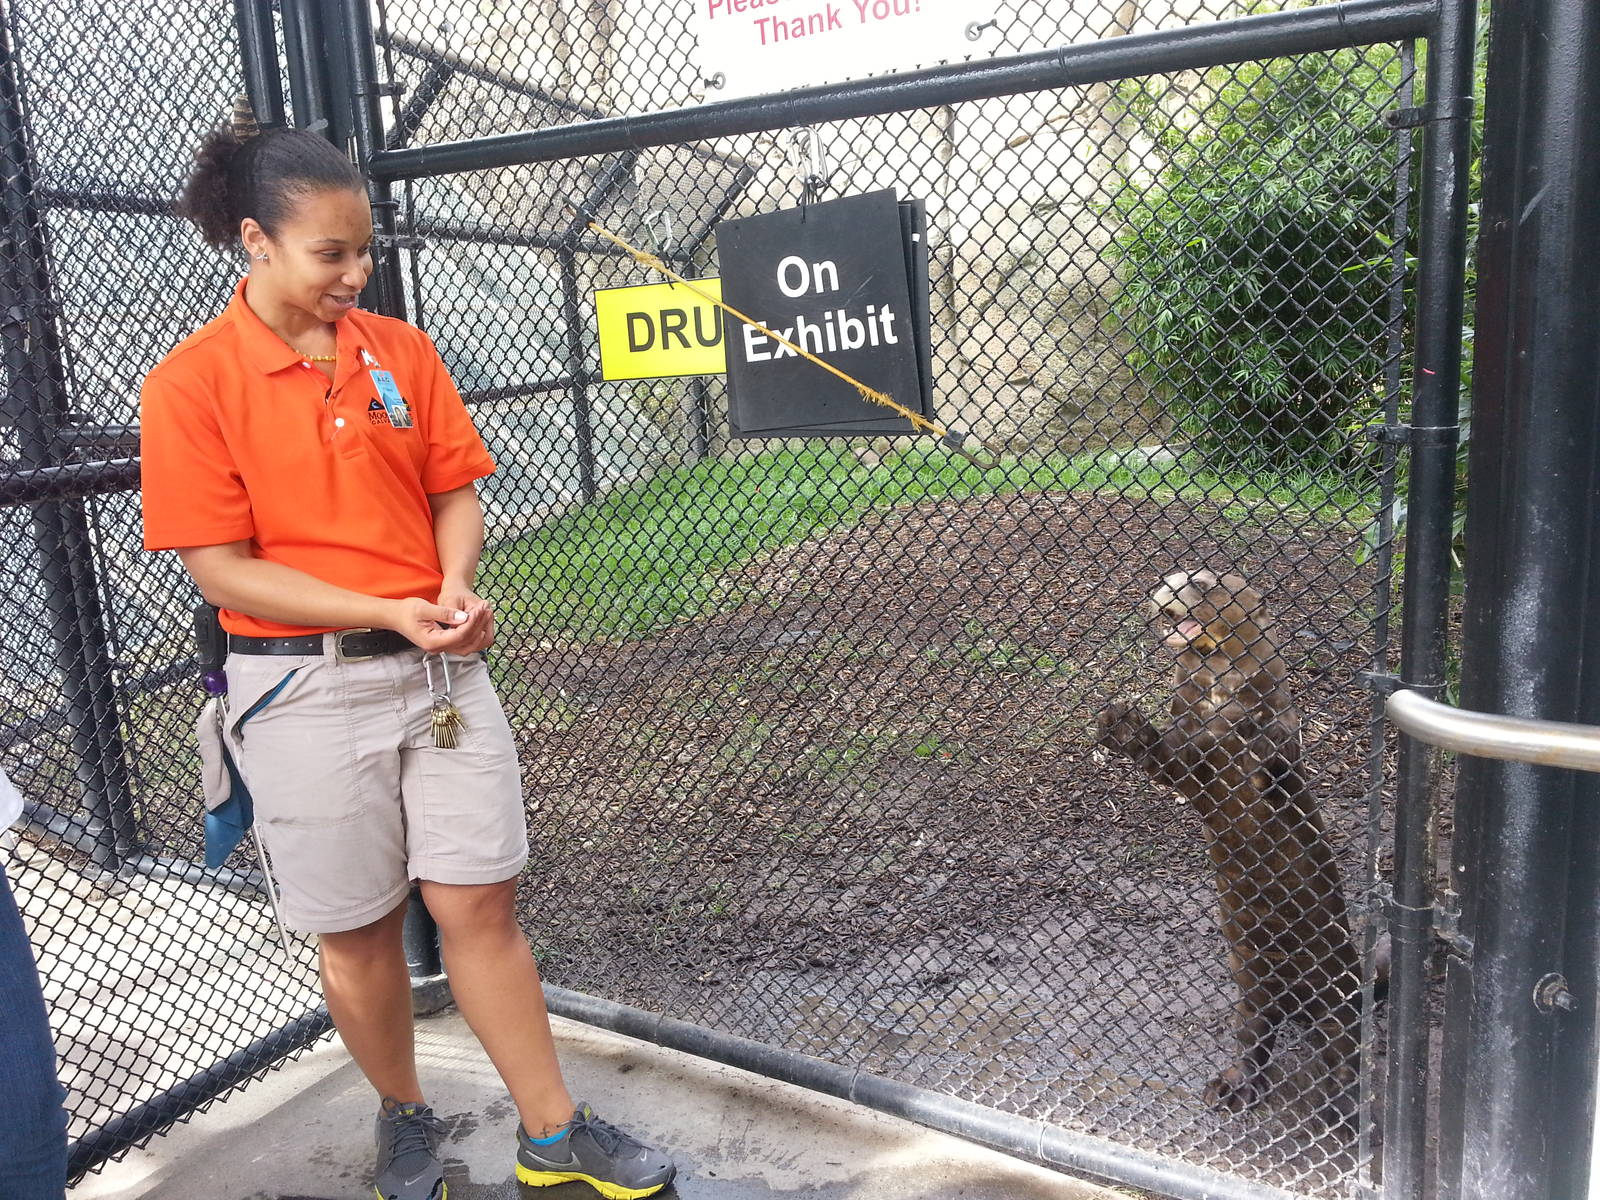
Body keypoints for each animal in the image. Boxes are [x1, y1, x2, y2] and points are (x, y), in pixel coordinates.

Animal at [1095, 569, 1360, 1119]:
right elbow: (1168, 760)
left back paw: (1340, 1109)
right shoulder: (1186, 752)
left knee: (1345, 1043)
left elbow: (1277, 753)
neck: (1220, 694)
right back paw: (1233, 1087)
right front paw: (1121, 723)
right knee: (1255, 1034)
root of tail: (1295, 1000)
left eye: (1202, 580)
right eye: (1173, 574)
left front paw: (1255, 742)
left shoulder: (1280, 724)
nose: (1169, 582)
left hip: (1336, 981)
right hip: (1252, 982)